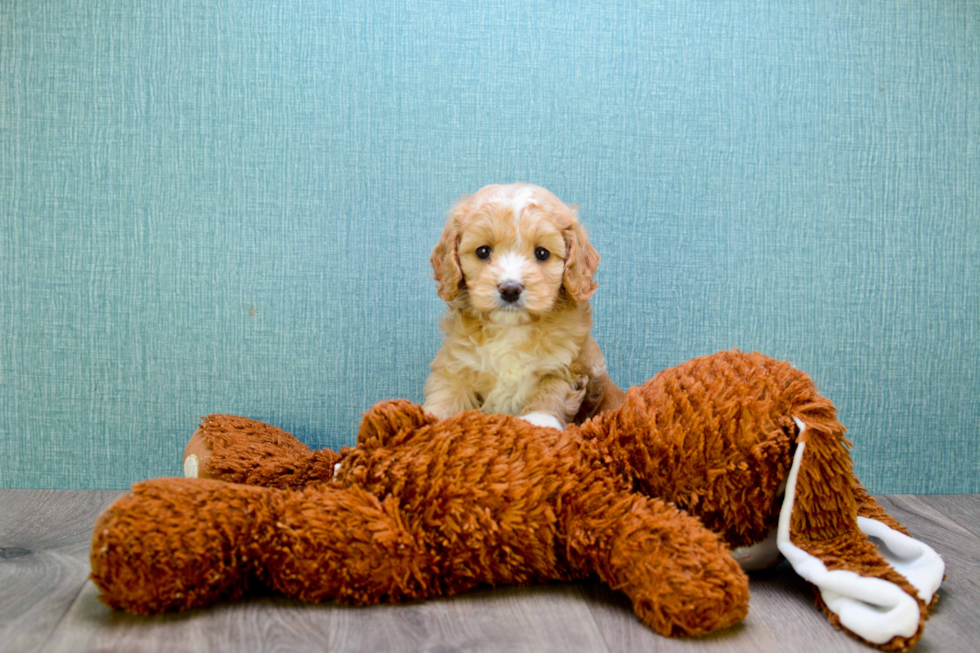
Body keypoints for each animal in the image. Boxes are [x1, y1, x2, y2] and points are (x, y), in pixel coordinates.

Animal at [424, 182, 624, 428]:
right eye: (483, 251)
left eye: (542, 253)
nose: (510, 289)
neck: (511, 329)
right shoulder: (457, 364)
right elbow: (446, 394)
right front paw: (433, 421)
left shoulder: (568, 366)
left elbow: (549, 393)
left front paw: (539, 423)